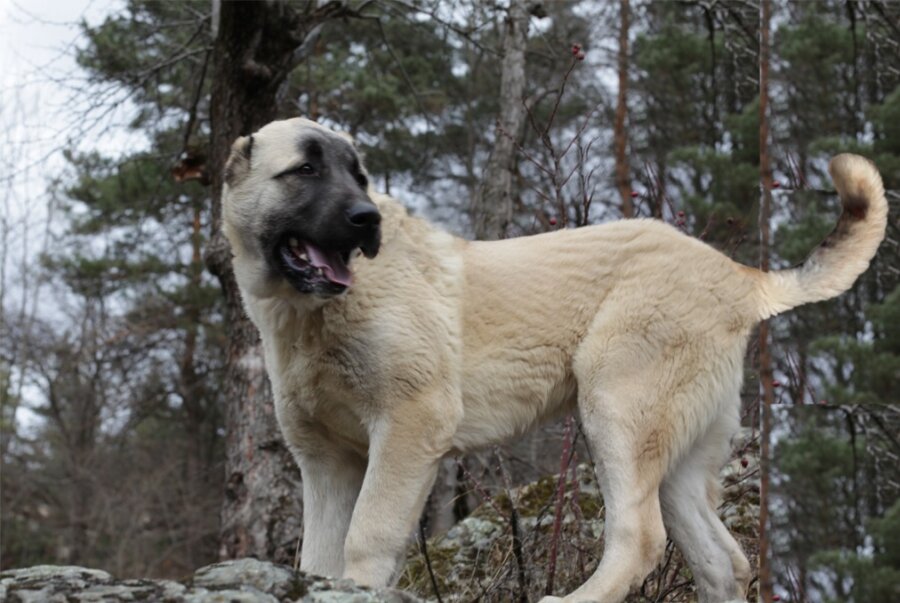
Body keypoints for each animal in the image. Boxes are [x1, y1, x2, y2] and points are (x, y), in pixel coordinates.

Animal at [220, 118, 884, 603]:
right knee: (722, 561)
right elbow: (318, 555)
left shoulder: (409, 424)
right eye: (306, 169)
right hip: (677, 451)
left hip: (618, 408)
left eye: (359, 176)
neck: (307, 316)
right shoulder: (326, 461)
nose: (367, 218)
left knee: (640, 538)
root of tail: (737, 275)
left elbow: (366, 536)